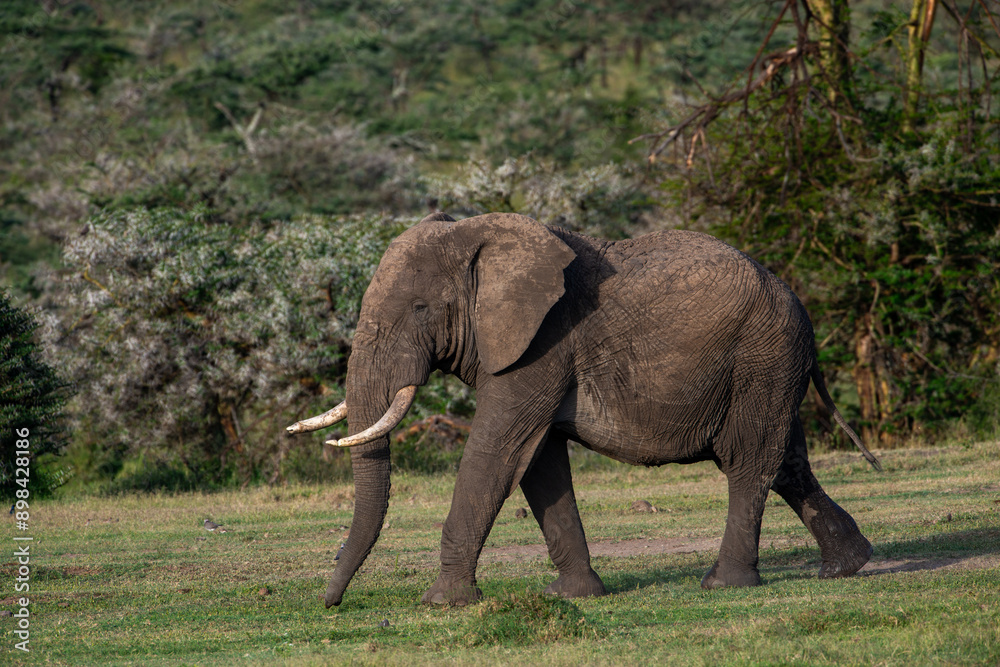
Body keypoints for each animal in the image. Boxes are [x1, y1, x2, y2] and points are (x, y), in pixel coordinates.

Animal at [286, 211, 881, 608]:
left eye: (420, 308)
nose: (329, 603)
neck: (480, 237)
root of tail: (796, 299)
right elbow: (540, 461)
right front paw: (574, 595)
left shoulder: (545, 342)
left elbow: (495, 452)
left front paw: (443, 603)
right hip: (773, 366)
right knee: (787, 463)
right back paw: (847, 567)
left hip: (762, 358)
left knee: (748, 458)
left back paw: (724, 583)